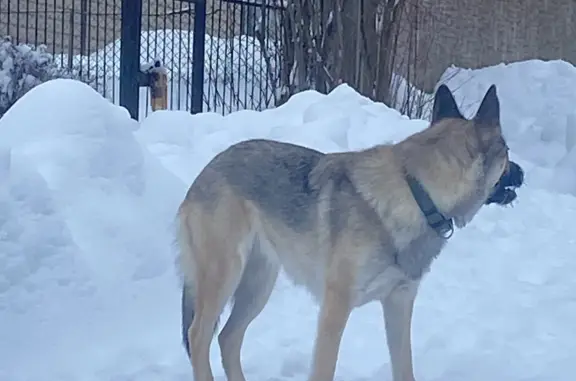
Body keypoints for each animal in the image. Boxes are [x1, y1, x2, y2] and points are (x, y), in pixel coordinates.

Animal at [174, 84, 520, 380]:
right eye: (508, 152)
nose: (522, 172)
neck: (417, 192)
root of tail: (204, 173)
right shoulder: (335, 307)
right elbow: (324, 370)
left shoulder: (399, 303)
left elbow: (404, 369)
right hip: (225, 278)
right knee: (199, 335)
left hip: (258, 287)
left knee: (228, 337)